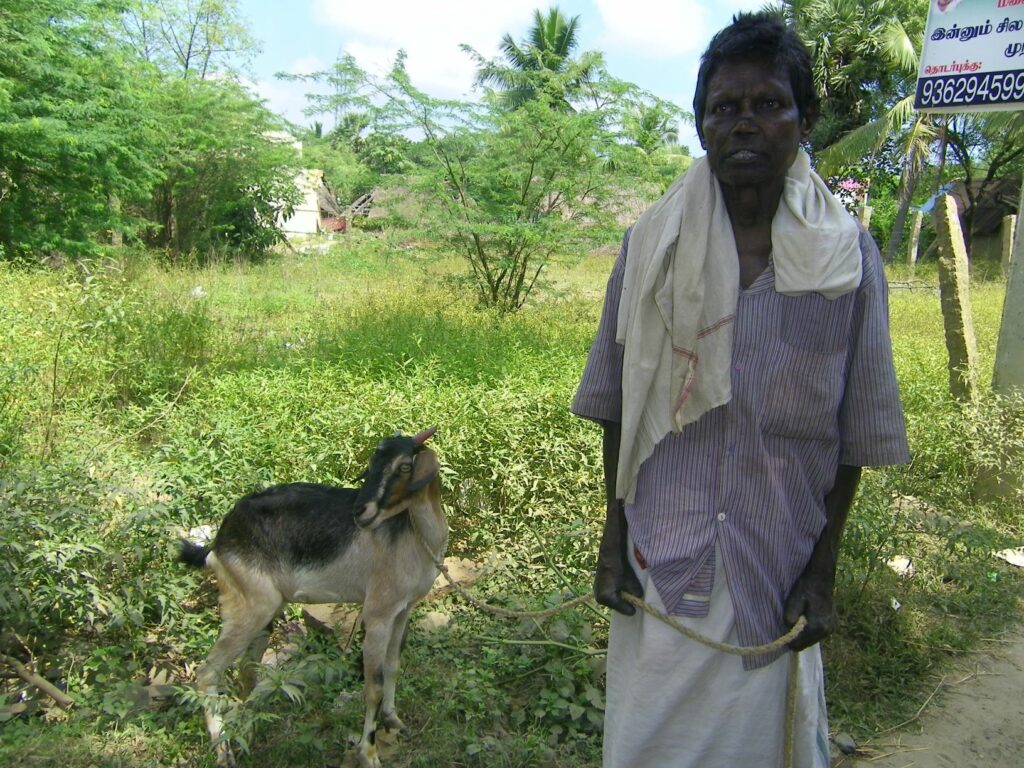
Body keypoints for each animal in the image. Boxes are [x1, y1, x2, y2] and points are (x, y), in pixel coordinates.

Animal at [177, 428, 448, 768]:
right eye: (373, 463)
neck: (417, 537)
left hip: (267, 610)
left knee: (247, 669)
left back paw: (250, 728)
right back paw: (224, 752)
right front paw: (369, 753)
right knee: (208, 672)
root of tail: (217, 544)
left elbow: (393, 666)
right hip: (250, 605)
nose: (361, 512)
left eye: (404, 466)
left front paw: (393, 721)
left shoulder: (403, 610)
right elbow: (372, 685)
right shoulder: (378, 612)